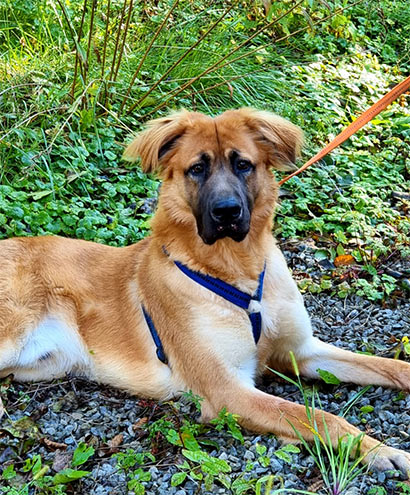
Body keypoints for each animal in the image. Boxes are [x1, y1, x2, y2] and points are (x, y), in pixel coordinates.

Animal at [1, 108, 409, 474]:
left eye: (243, 164)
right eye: (197, 169)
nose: (226, 212)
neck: (237, 272)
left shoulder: (302, 351)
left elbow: (388, 366)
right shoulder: (228, 390)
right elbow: (321, 418)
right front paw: (380, 451)